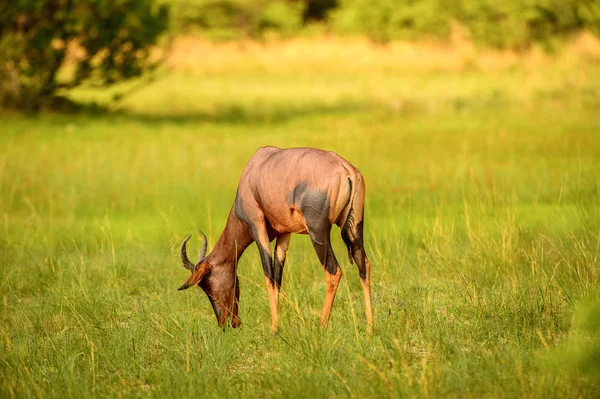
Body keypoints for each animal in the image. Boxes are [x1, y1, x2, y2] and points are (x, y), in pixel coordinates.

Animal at [178, 147, 372, 334]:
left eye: (206, 285)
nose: (227, 323)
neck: (253, 172)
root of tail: (346, 169)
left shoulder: (257, 225)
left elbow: (268, 274)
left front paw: (274, 329)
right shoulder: (284, 233)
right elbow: (278, 277)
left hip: (318, 232)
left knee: (333, 271)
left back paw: (322, 327)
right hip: (355, 227)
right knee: (364, 265)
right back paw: (370, 329)